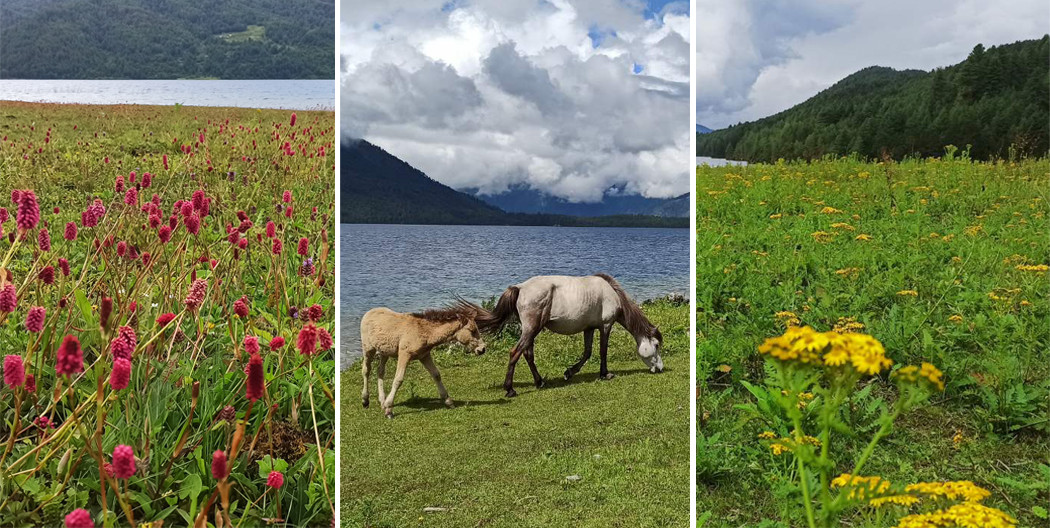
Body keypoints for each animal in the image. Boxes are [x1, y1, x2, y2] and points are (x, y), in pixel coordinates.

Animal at [478, 275, 663, 398]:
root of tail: (520, 287)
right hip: (532, 329)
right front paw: (605, 374)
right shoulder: (605, 326)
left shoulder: (589, 328)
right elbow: (602, 351)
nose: (660, 368)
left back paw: (539, 382)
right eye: (656, 345)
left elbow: (587, 352)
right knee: (515, 352)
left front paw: (569, 372)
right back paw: (510, 389)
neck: (611, 292)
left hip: (530, 331)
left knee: (528, 354)